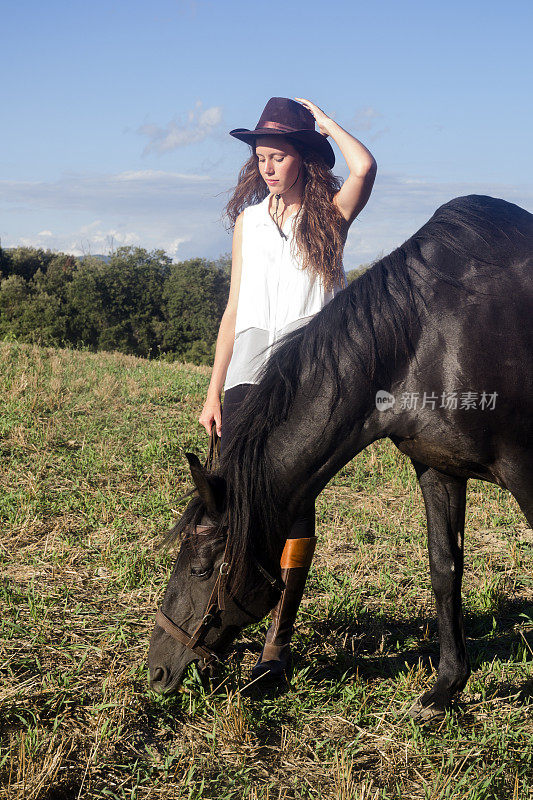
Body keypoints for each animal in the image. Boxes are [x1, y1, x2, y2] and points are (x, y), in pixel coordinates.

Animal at [148, 194, 528, 720]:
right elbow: (444, 570)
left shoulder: (525, 467)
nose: (157, 670)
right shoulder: (438, 468)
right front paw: (446, 688)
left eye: (201, 568)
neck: (432, 336)